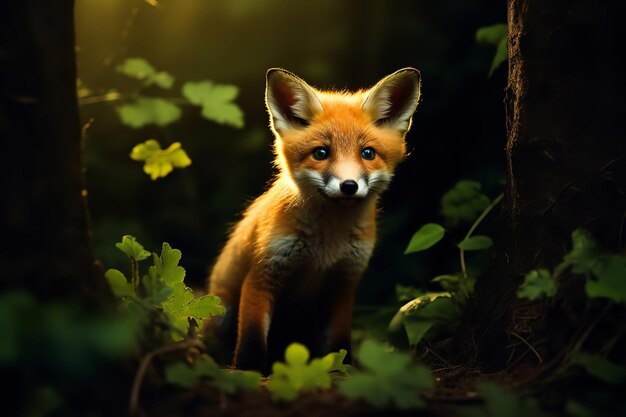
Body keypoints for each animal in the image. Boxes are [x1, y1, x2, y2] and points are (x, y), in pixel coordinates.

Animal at [208, 67, 420, 370]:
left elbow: (340, 340)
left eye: (367, 153)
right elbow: (251, 337)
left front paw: (344, 368)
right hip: (222, 310)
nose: (349, 186)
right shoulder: (262, 274)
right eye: (321, 153)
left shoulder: (345, 281)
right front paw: (248, 370)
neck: (325, 246)